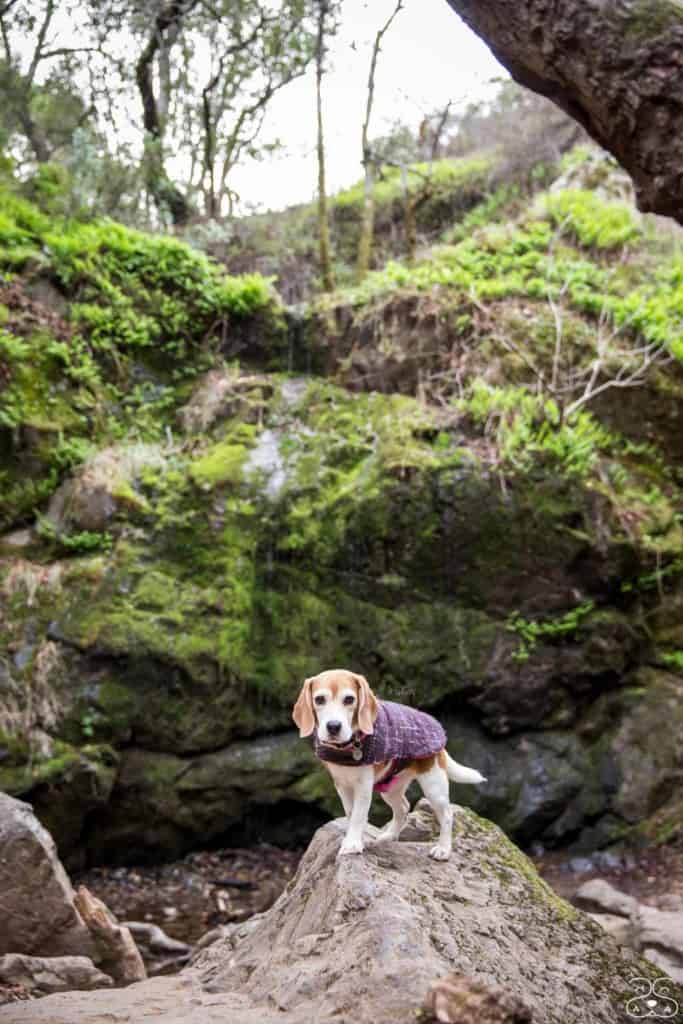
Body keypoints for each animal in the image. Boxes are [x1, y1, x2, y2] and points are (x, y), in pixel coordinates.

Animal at [292, 667, 485, 860]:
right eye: (319, 700)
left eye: (349, 699)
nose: (333, 726)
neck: (348, 746)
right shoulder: (342, 785)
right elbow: (351, 813)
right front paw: (352, 838)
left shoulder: (363, 787)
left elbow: (358, 815)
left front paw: (352, 844)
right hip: (391, 789)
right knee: (403, 808)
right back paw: (390, 836)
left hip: (434, 786)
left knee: (447, 815)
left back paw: (443, 848)